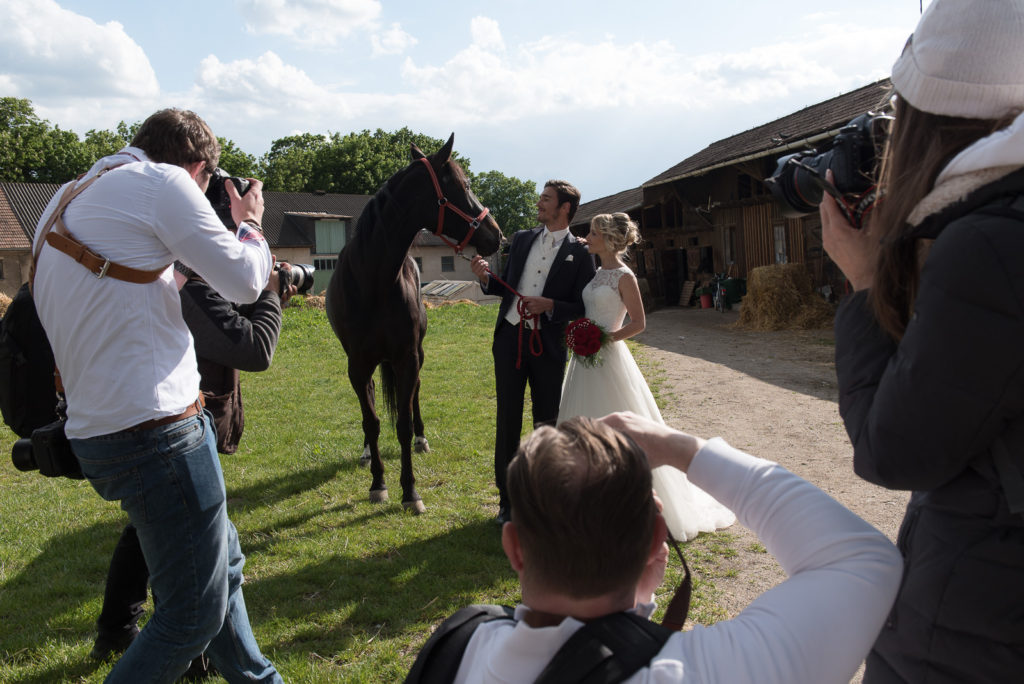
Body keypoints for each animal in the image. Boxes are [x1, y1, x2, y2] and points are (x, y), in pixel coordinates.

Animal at [325, 135, 501, 511]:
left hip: (415, 354)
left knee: (415, 394)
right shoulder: (357, 364)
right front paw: (378, 482)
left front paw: (410, 491)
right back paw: (367, 453)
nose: (496, 234)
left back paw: (422, 439)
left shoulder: (407, 356)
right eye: (464, 186)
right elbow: (372, 421)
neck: (374, 279)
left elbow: (403, 423)